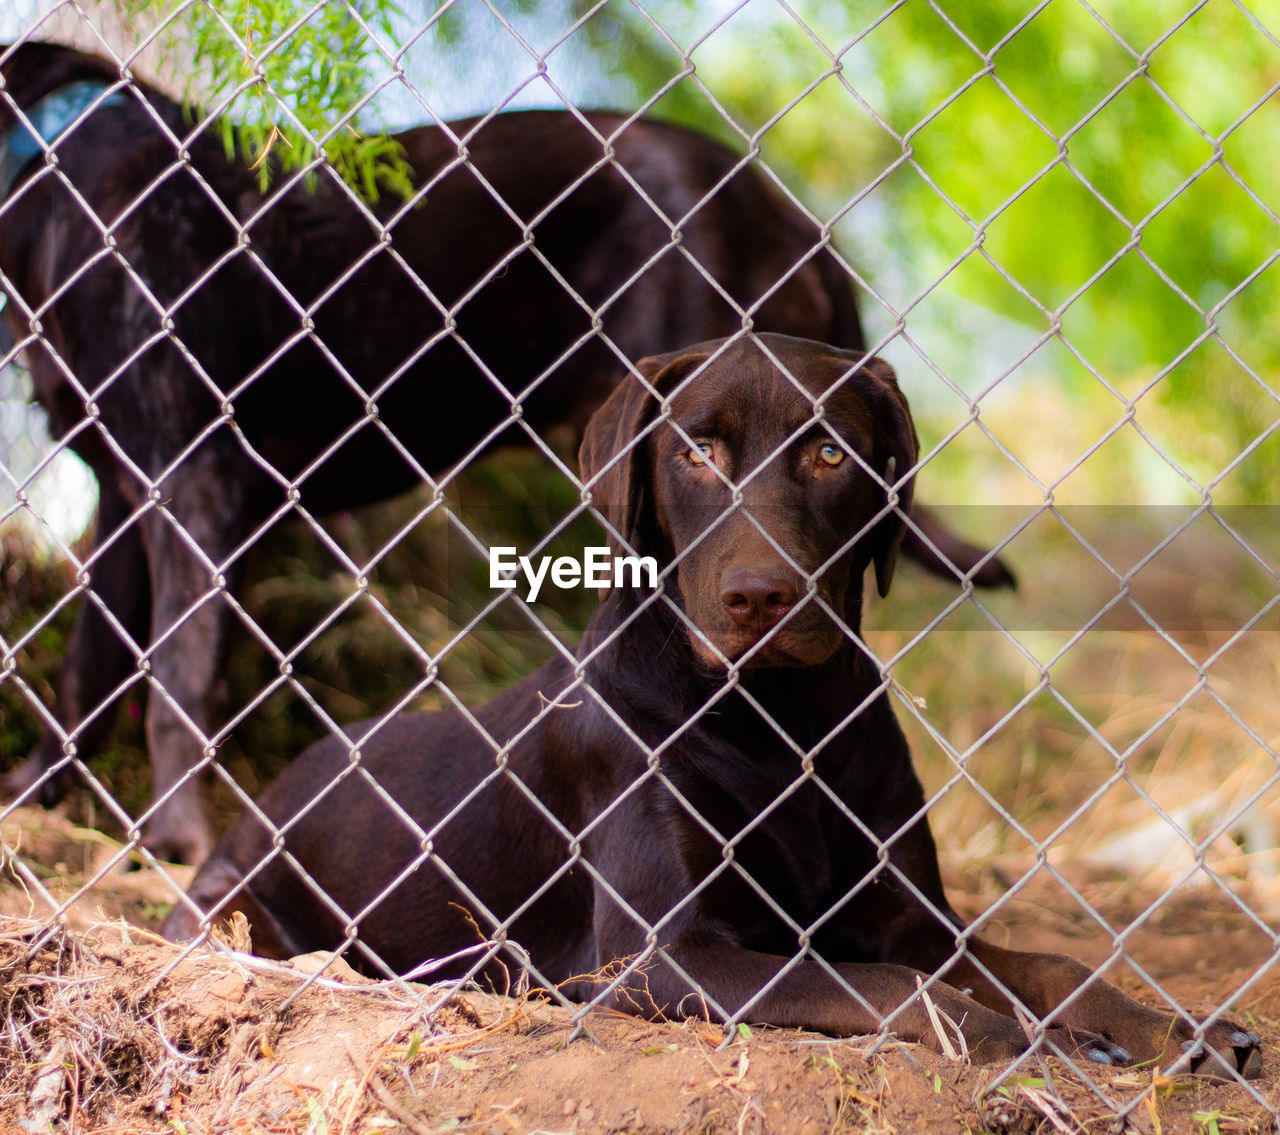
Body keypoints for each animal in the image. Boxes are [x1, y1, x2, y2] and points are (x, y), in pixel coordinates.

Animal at [0, 42, 1008, 859]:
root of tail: (793, 217)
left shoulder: (197, 480)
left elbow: (179, 675)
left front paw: (173, 840)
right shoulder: (124, 489)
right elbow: (90, 666)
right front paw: (39, 799)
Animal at [165, 335, 1264, 1074]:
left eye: (829, 453)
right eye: (695, 451)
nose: (758, 596)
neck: (780, 720)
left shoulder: (915, 919)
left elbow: (1053, 963)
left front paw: (1172, 1027)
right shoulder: (663, 956)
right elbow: (897, 989)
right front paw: (1033, 1044)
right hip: (230, 906)